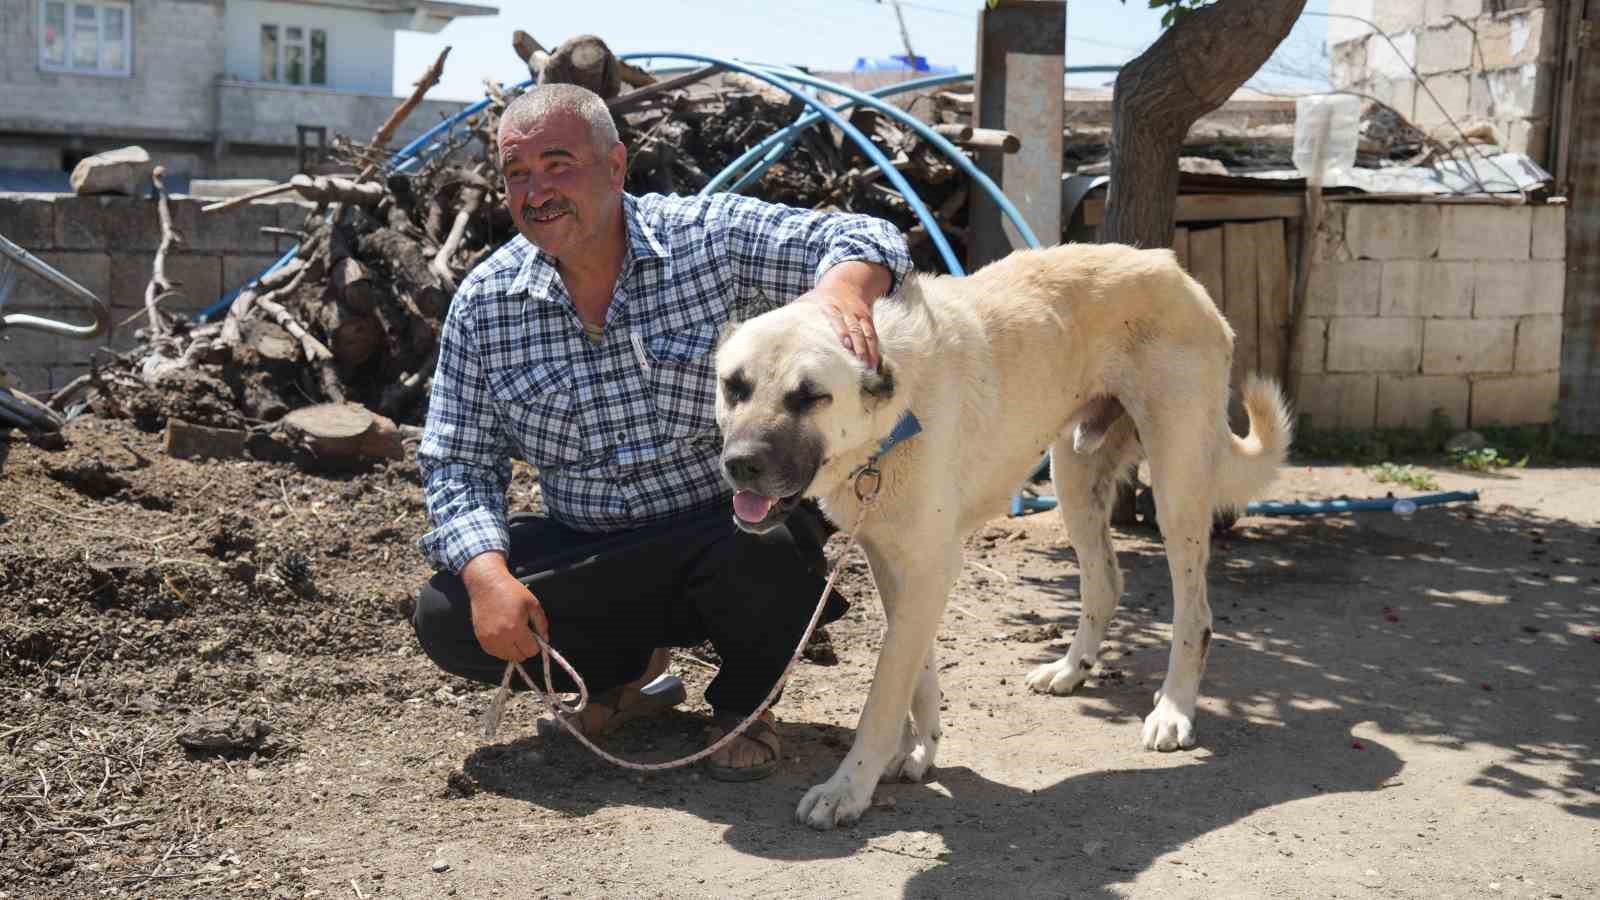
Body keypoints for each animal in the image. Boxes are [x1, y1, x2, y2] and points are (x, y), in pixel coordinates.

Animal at [720, 240, 1292, 826]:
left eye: (809, 396)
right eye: (734, 387)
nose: (739, 464)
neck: (895, 413)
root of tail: (1169, 265)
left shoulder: (930, 566)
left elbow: (884, 694)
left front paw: (849, 787)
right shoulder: (895, 561)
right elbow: (916, 671)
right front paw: (920, 749)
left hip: (1176, 489)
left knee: (1194, 615)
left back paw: (1174, 710)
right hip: (1075, 478)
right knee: (1105, 583)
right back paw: (1071, 670)